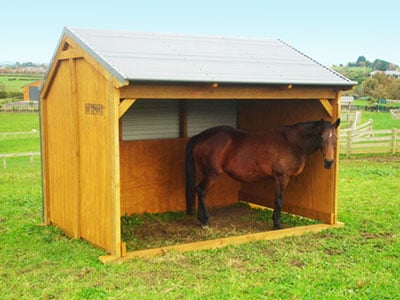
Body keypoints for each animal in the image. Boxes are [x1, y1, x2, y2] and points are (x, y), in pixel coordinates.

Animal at [186, 118, 340, 229]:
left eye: (335, 138)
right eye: (321, 137)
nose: (329, 162)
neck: (292, 143)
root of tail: (201, 136)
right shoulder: (281, 177)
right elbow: (279, 200)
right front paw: (276, 225)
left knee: (198, 190)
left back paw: (201, 220)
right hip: (212, 174)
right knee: (201, 191)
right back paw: (205, 221)